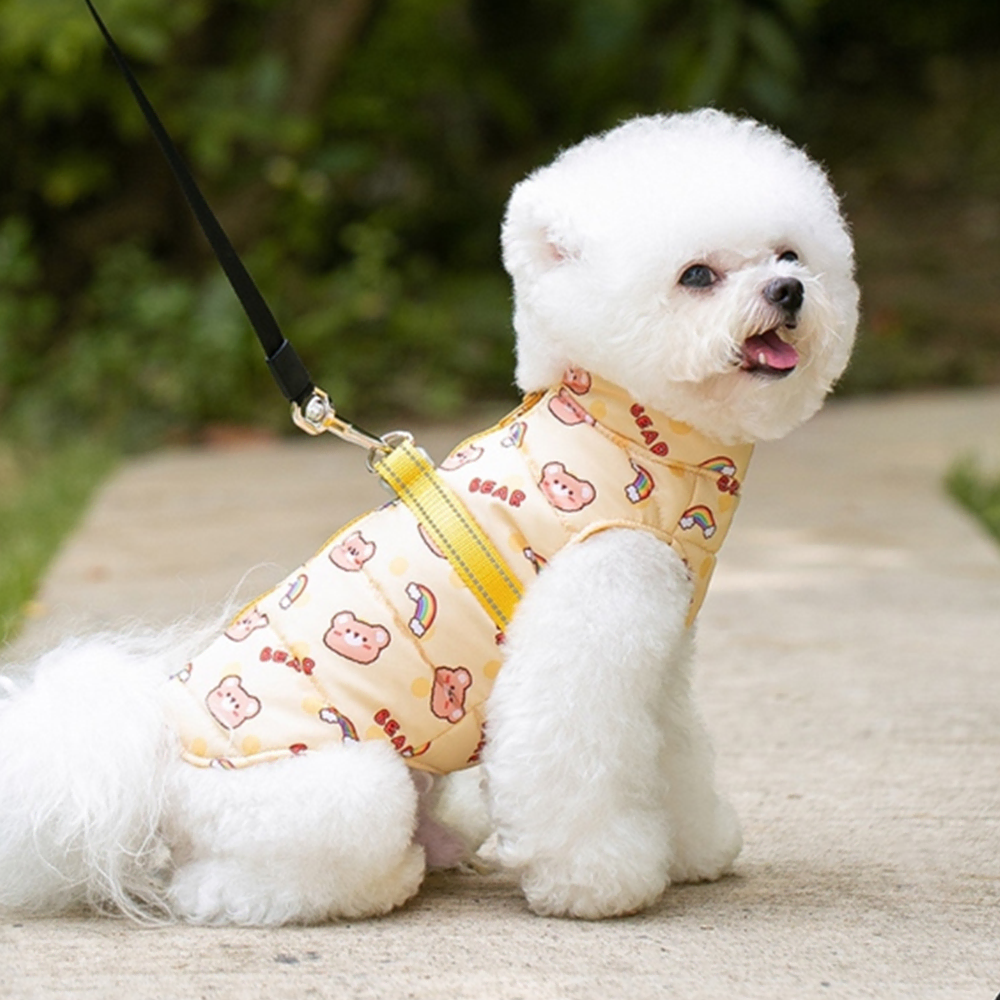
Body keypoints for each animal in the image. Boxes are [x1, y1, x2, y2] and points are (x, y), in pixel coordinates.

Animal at [0, 107, 860, 920]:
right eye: (697, 275)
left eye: (789, 255)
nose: (788, 292)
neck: (628, 432)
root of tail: (150, 767)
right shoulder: (581, 641)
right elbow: (575, 770)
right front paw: (599, 883)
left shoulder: (655, 657)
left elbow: (671, 752)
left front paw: (694, 847)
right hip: (346, 790)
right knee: (221, 888)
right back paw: (380, 879)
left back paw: (447, 842)